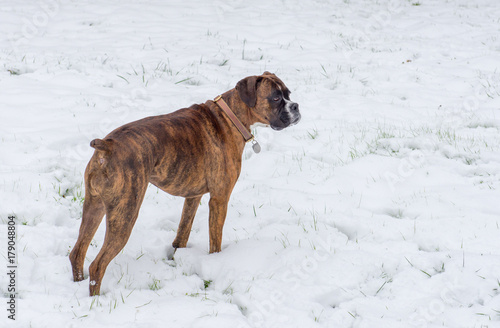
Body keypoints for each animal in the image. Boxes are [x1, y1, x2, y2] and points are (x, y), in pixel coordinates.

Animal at [68, 72, 298, 298]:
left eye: (288, 94)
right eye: (275, 98)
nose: (295, 106)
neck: (230, 117)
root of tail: (107, 145)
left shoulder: (192, 197)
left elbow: (183, 230)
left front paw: (177, 254)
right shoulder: (219, 199)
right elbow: (215, 239)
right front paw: (216, 262)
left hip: (94, 206)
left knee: (77, 252)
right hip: (124, 215)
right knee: (97, 266)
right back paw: (97, 300)